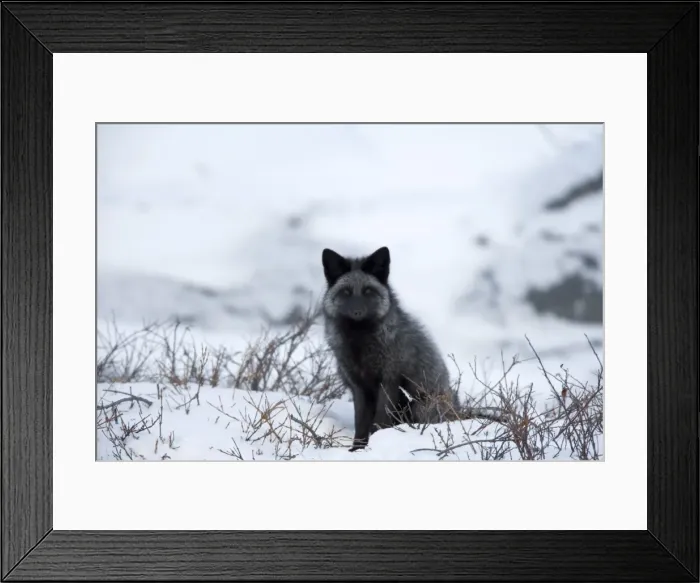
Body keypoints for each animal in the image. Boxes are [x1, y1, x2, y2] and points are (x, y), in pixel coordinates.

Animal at [321, 245, 459, 451]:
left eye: (368, 291)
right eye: (345, 292)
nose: (357, 312)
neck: (360, 343)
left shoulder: (389, 381)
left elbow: (381, 419)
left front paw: (375, 444)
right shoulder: (358, 386)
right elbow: (361, 421)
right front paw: (357, 449)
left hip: (420, 405)